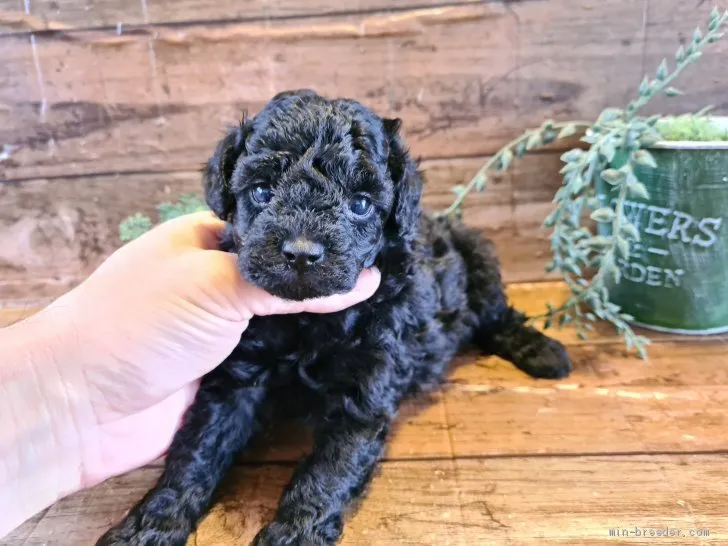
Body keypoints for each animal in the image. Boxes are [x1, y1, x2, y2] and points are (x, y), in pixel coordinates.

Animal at [96, 90, 572, 544]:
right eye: (262, 192)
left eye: (360, 203)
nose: (301, 253)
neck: (308, 322)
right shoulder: (236, 377)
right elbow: (199, 448)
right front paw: (149, 526)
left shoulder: (367, 387)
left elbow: (329, 469)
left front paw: (295, 533)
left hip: (480, 258)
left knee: (497, 315)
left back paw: (545, 352)